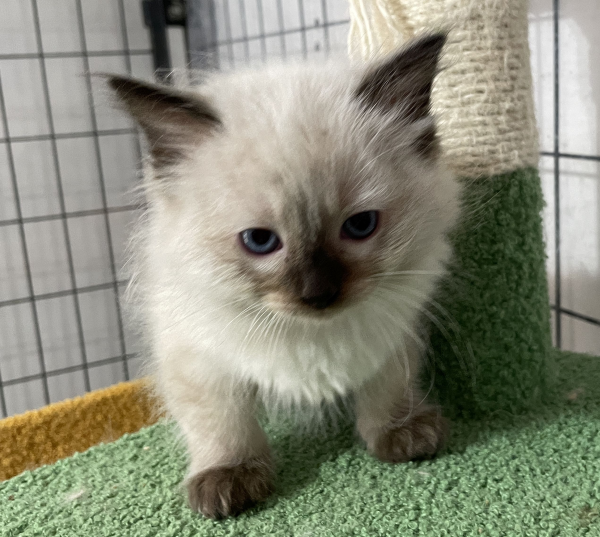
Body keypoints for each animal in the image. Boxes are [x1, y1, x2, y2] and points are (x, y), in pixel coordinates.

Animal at [109, 33, 460, 520]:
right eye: (259, 241)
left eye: (360, 226)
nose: (319, 294)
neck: (311, 335)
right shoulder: (197, 359)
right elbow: (221, 422)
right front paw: (229, 479)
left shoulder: (395, 333)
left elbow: (387, 388)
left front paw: (402, 433)